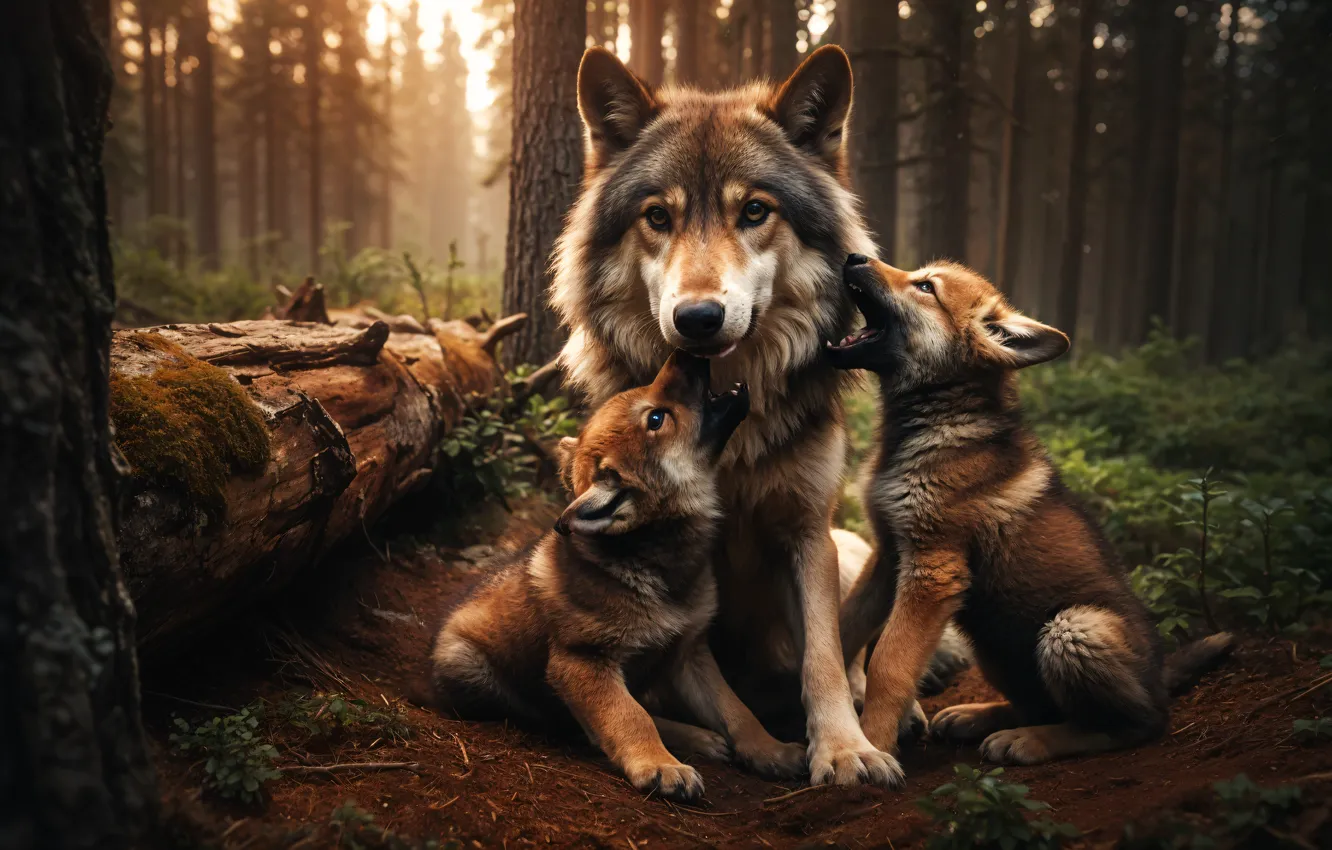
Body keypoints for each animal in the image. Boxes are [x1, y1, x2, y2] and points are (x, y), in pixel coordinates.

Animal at [430, 351, 806, 802]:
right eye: (657, 418)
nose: (684, 353)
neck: (656, 564)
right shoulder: (582, 662)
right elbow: (629, 716)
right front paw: (659, 765)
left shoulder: (690, 653)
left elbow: (736, 709)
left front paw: (772, 750)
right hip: (471, 668)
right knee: (576, 724)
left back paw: (699, 737)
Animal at [549, 44, 906, 786]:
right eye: (659, 217)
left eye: (754, 211)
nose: (698, 318)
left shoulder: (807, 531)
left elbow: (823, 654)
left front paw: (844, 748)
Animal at [827, 254, 1234, 765]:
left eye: (925, 287)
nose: (854, 257)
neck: (937, 423)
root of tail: (1158, 683)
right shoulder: (889, 555)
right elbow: (843, 629)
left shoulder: (932, 571)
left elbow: (889, 665)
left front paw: (875, 746)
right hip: (995, 648)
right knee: (1035, 705)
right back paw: (980, 716)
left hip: (1074, 629)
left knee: (1127, 726)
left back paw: (1029, 740)